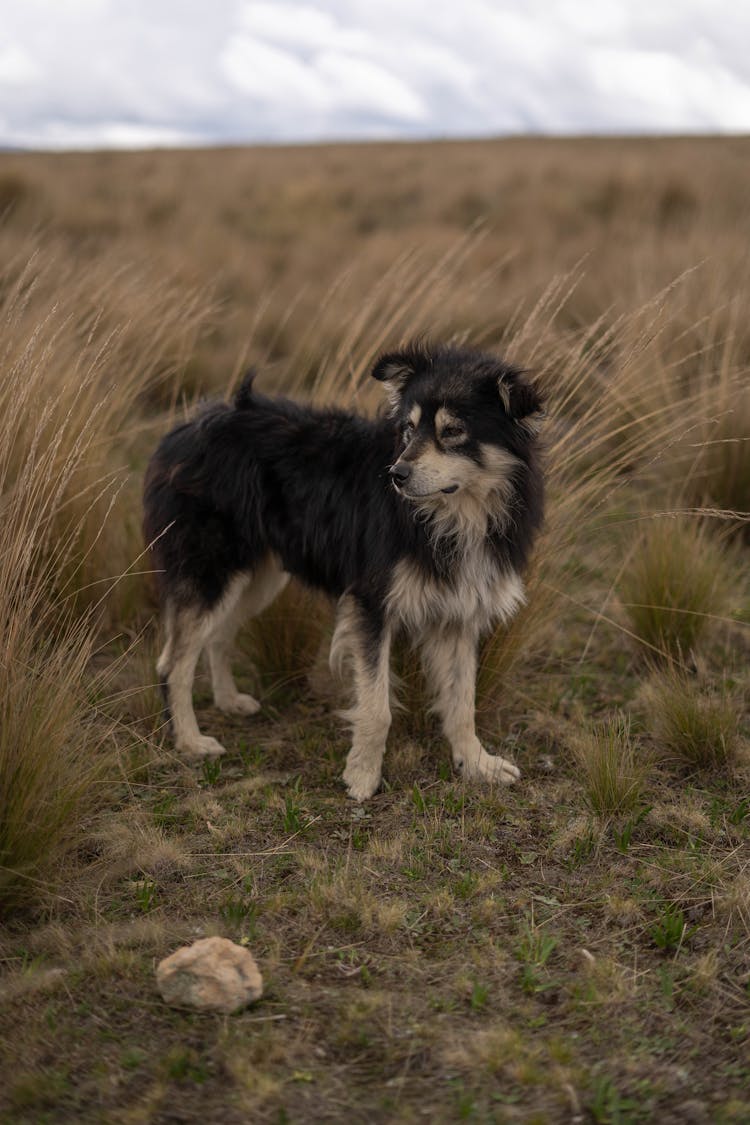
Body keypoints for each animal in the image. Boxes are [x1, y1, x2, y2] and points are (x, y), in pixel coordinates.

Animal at [143, 342, 541, 801]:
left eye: (453, 431)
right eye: (408, 429)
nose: (397, 475)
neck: (455, 516)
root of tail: (187, 427)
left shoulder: (460, 608)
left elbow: (462, 702)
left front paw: (476, 763)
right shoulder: (372, 603)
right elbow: (377, 707)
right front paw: (362, 776)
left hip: (258, 577)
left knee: (219, 636)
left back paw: (228, 701)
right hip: (213, 570)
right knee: (172, 664)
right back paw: (190, 741)